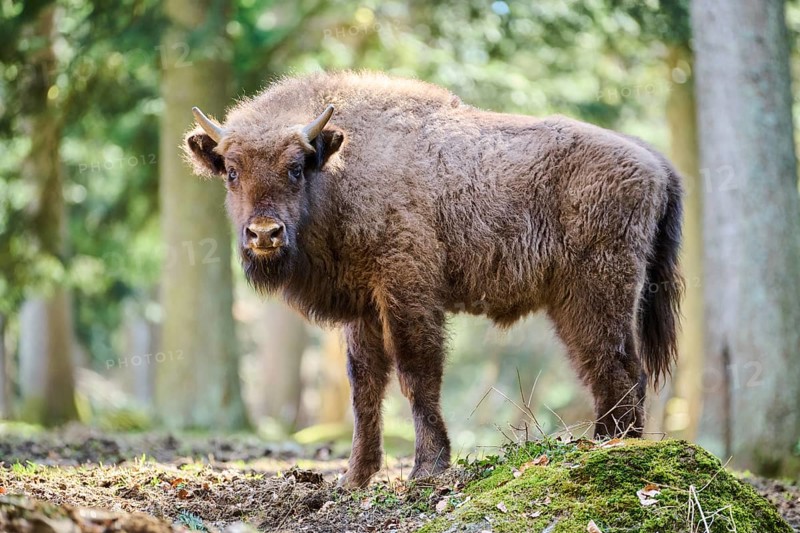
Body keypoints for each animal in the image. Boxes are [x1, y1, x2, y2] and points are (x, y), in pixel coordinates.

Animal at [185, 71, 683, 488]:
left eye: (295, 167)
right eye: (231, 171)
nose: (264, 234)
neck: (342, 166)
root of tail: (655, 164)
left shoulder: (406, 289)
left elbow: (416, 373)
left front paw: (427, 469)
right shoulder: (364, 308)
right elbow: (364, 387)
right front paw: (354, 479)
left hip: (595, 294)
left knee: (617, 368)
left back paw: (607, 450)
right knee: (611, 370)